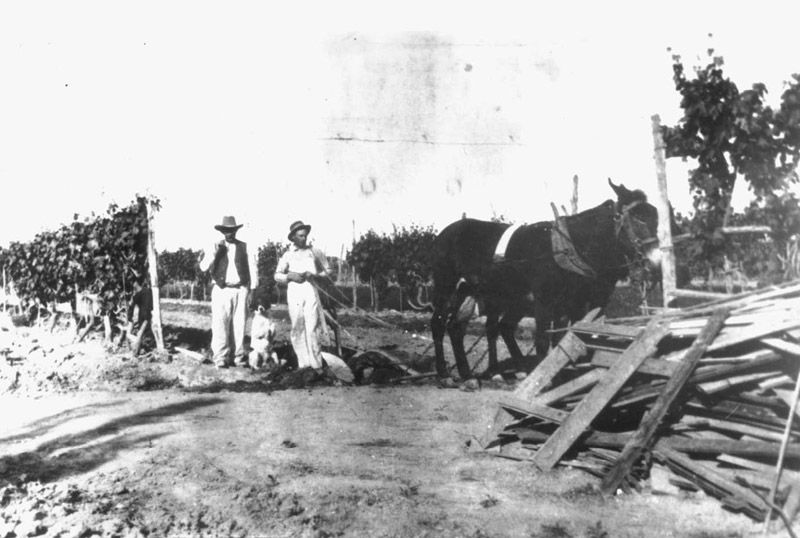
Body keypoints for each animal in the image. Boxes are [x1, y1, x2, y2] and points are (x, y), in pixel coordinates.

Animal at [430, 179, 662, 381]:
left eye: (656, 219)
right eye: (638, 218)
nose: (656, 263)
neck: (568, 247)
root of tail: (446, 232)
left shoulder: (572, 304)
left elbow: (566, 337)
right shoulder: (545, 301)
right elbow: (543, 340)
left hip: (473, 290)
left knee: (461, 327)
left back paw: (471, 374)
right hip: (447, 286)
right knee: (439, 324)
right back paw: (445, 374)